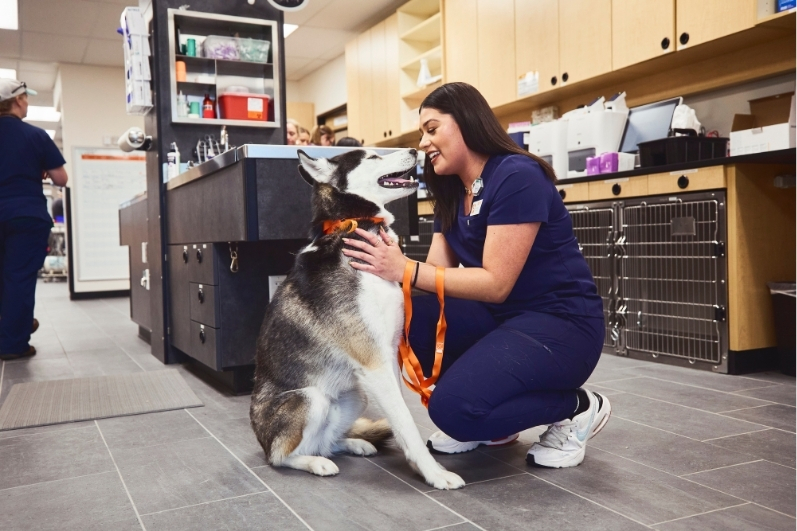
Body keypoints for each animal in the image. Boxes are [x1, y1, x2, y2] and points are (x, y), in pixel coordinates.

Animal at [247, 149, 460, 490]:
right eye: (372, 155)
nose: (415, 151)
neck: (354, 227)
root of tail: (261, 439)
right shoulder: (374, 363)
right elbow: (406, 421)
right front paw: (434, 473)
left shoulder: (387, 357)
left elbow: (400, 416)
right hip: (310, 399)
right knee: (282, 456)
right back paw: (314, 463)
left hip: (355, 395)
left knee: (325, 442)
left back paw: (352, 443)